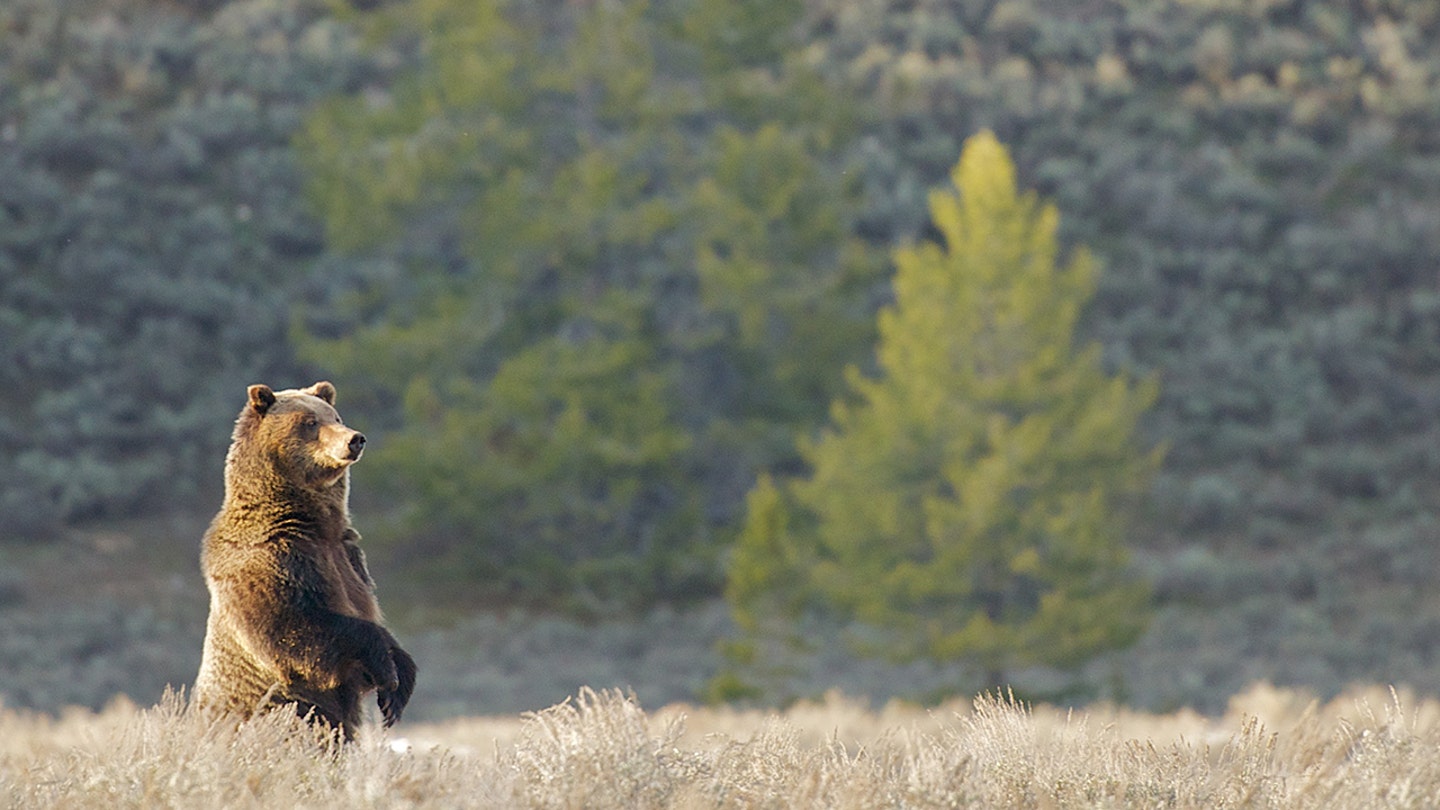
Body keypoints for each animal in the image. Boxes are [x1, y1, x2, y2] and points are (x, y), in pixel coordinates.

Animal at [194, 380, 417, 735]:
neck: (311, 522)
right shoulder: (273, 559)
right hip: (286, 708)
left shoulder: (348, 556)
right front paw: (386, 667)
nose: (354, 439)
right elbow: (293, 627)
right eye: (310, 422)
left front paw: (398, 689)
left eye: (336, 416)